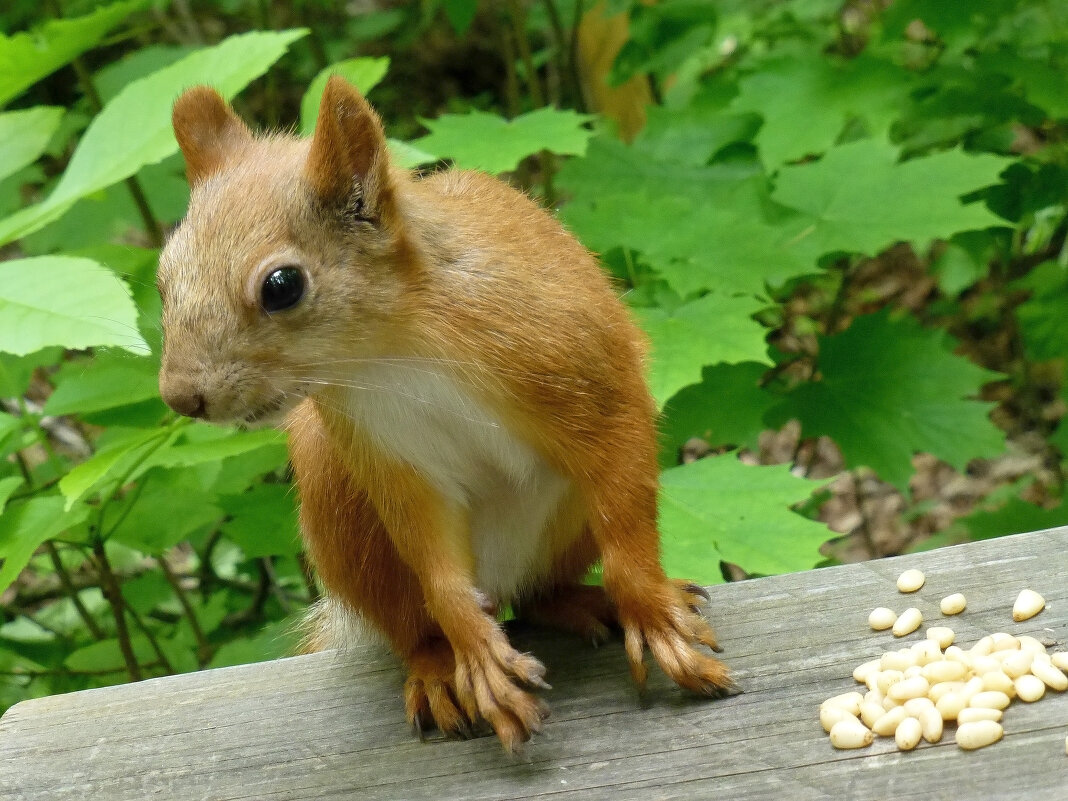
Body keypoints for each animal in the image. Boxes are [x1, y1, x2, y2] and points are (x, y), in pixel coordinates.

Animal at [155, 75, 734, 751]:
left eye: (282, 286)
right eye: (164, 278)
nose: (181, 396)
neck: (391, 351)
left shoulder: (575, 370)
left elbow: (621, 492)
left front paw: (651, 614)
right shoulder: (389, 455)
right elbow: (435, 562)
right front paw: (474, 651)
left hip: (566, 527)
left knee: (539, 593)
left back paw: (584, 604)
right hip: (344, 512)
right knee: (415, 624)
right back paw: (438, 666)